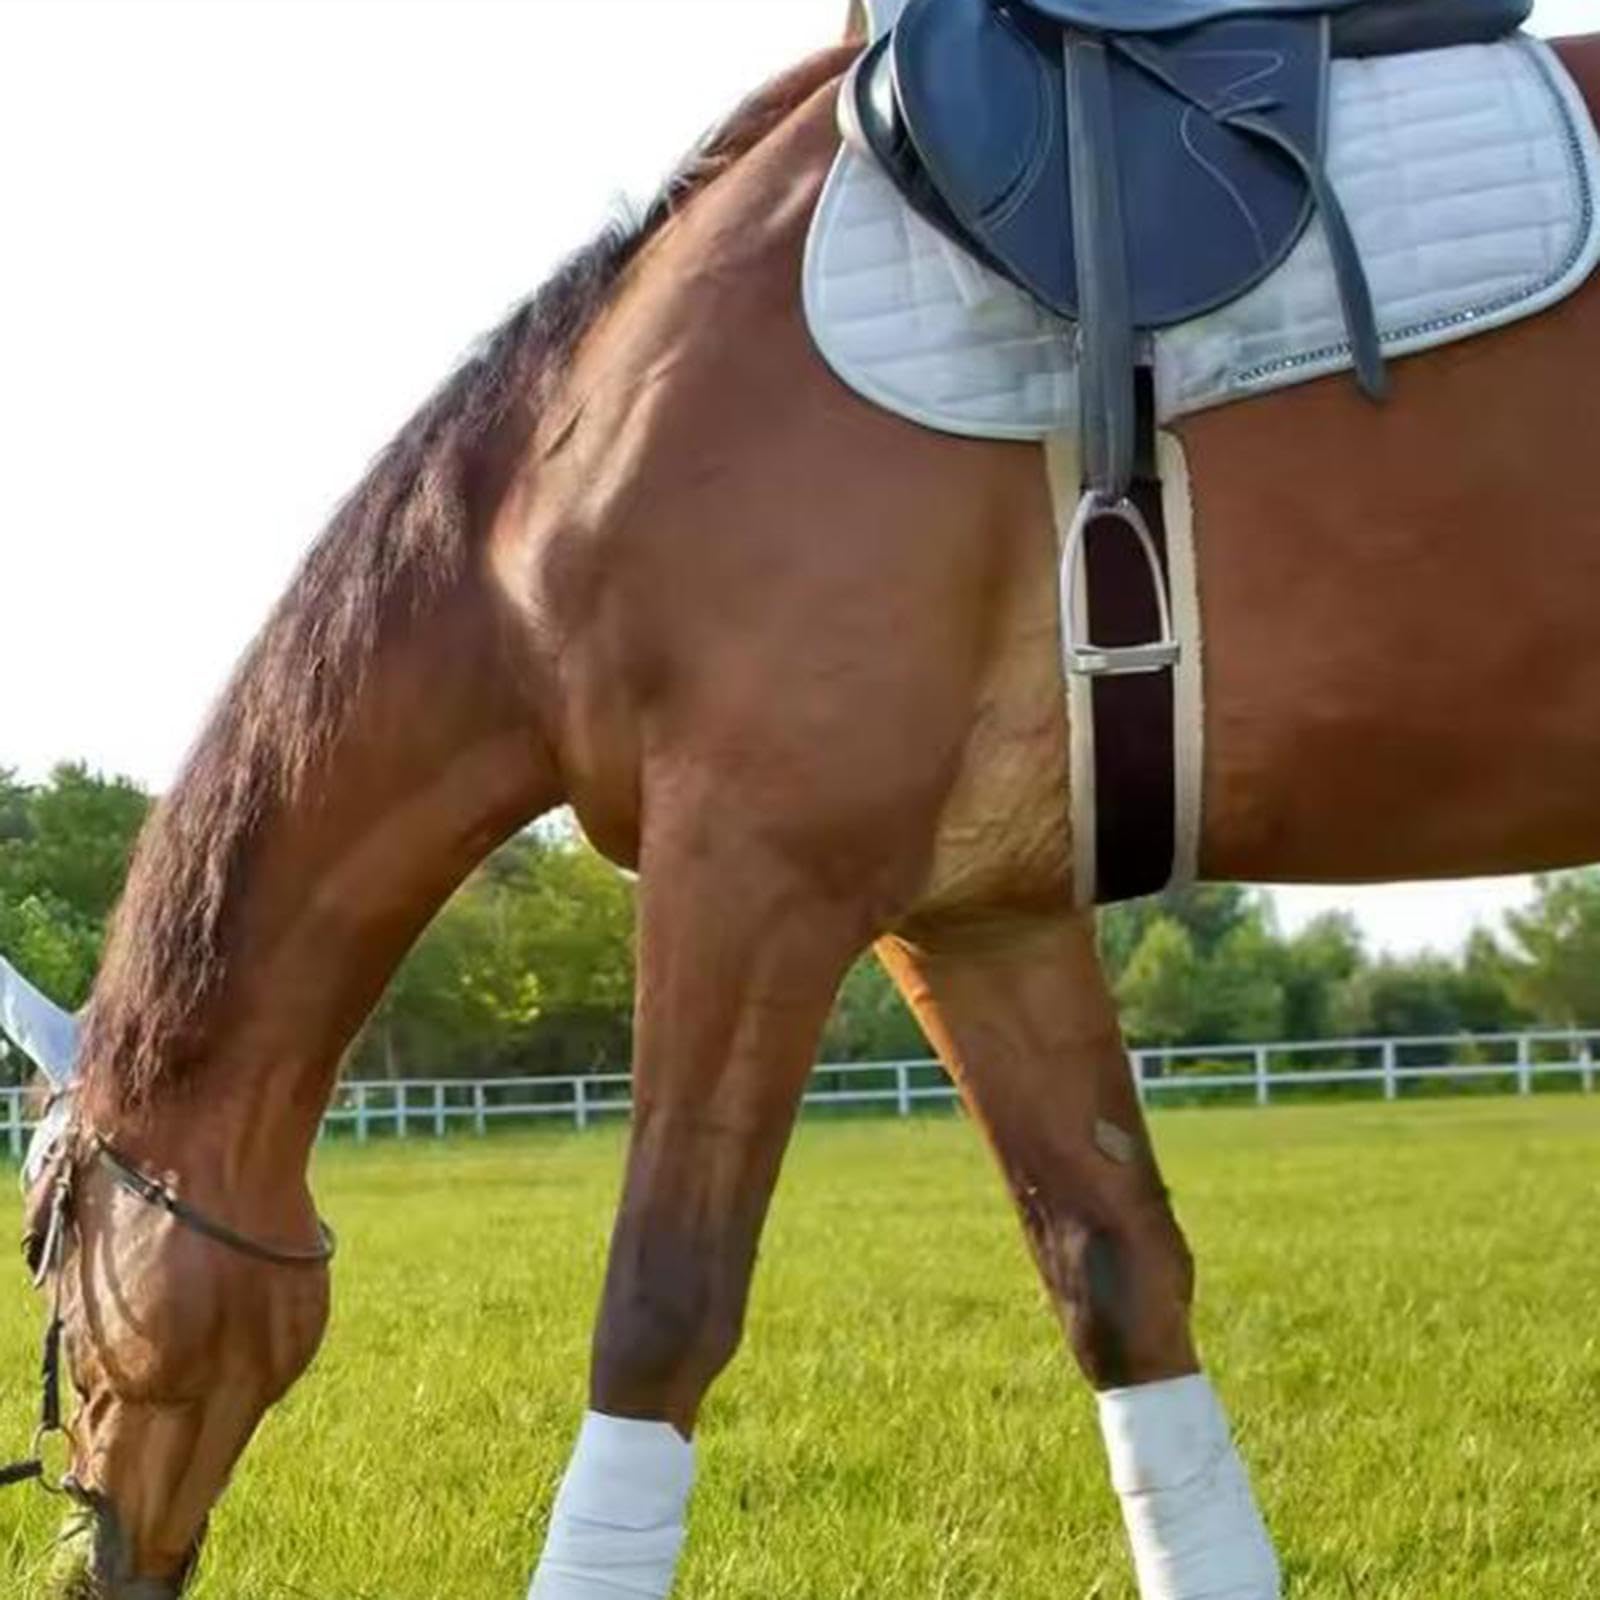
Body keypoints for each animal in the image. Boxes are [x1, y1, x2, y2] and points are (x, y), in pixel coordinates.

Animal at [7, 13, 1599, 1597]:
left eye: (43, 1250)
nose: (90, 1553)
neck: (574, 467)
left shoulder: (750, 872)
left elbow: (657, 1311)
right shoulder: (979, 920)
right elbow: (1117, 1277)